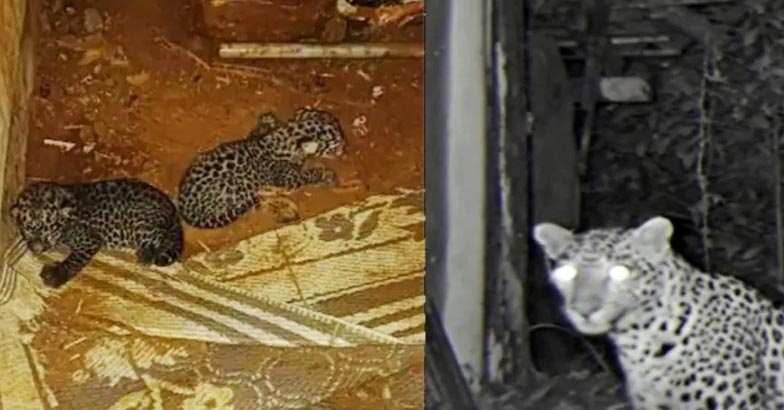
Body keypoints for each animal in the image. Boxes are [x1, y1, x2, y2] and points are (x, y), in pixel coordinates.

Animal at [10, 178, 183, 288]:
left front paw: (57, 275)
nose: (37, 249)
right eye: (27, 229)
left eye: (51, 229)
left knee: (160, 240)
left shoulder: (89, 240)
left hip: (142, 224)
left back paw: (145, 255)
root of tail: (173, 209)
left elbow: (74, 259)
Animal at [176, 107, 346, 229]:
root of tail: (186, 209)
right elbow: (307, 174)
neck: (287, 137)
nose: (344, 147)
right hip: (240, 185)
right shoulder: (287, 178)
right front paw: (326, 175)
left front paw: (267, 120)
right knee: (255, 202)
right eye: (336, 143)